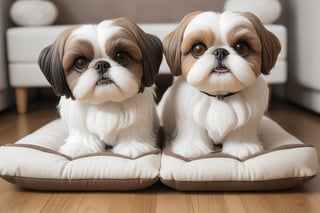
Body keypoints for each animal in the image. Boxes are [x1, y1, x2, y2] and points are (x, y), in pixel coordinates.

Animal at [38, 17, 162, 158]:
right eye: (80, 62)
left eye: (121, 56)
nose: (102, 64)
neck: (106, 102)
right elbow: (84, 134)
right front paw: (81, 145)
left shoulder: (137, 121)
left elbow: (132, 131)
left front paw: (132, 146)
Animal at [159, 11, 280, 158]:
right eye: (198, 49)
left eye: (241, 47)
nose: (220, 51)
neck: (219, 95)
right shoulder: (189, 119)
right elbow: (193, 132)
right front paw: (193, 148)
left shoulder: (247, 119)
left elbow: (241, 131)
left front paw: (241, 147)